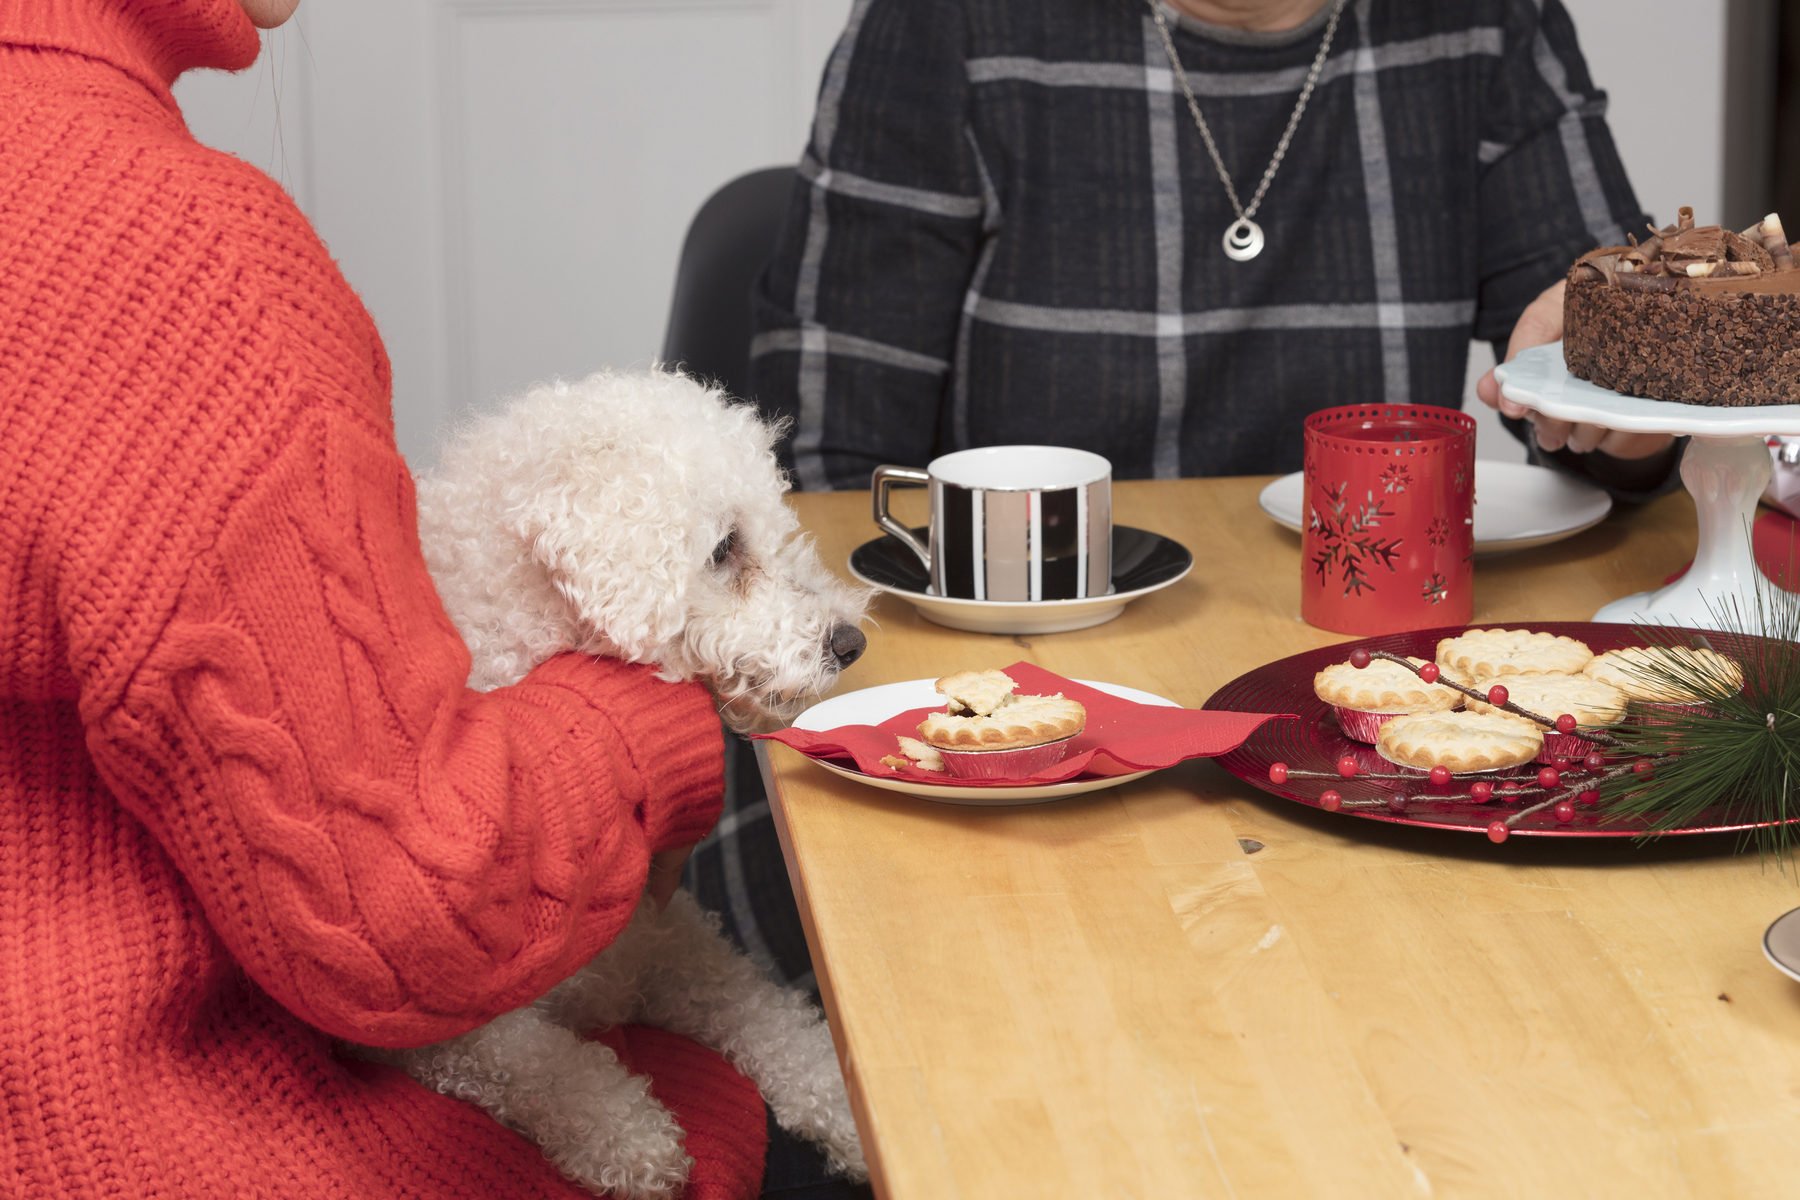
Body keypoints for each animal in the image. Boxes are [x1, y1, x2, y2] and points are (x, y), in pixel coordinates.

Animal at [365, 370, 871, 1194]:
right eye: (725, 548)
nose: (850, 641)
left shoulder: (672, 945)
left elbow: (768, 1017)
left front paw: (840, 1098)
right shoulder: (444, 1034)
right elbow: (541, 1067)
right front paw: (625, 1132)